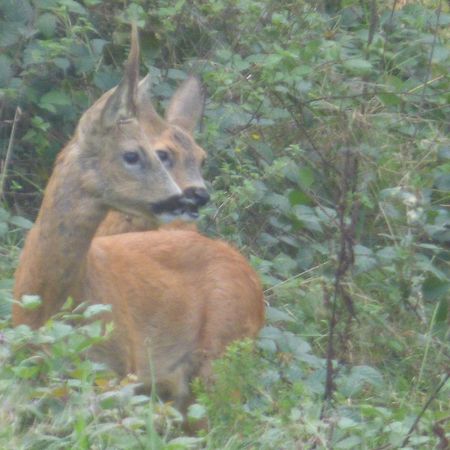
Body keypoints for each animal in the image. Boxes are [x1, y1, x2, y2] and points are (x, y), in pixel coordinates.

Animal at [12, 27, 266, 414]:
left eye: (203, 158)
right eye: (133, 154)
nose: (187, 198)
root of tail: (254, 280)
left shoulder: (114, 368)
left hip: (223, 356)